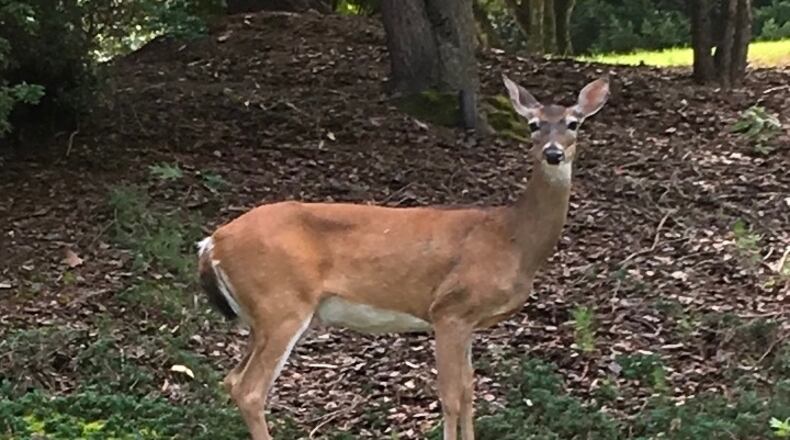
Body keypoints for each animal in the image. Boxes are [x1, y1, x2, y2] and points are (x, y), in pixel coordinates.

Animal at [196, 73, 610, 440]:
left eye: (573, 123)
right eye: (533, 124)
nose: (553, 153)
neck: (513, 238)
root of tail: (211, 243)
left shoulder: (469, 321)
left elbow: (470, 391)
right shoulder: (449, 309)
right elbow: (451, 396)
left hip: (260, 316)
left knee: (231, 380)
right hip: (281, 303)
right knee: (250, 389)